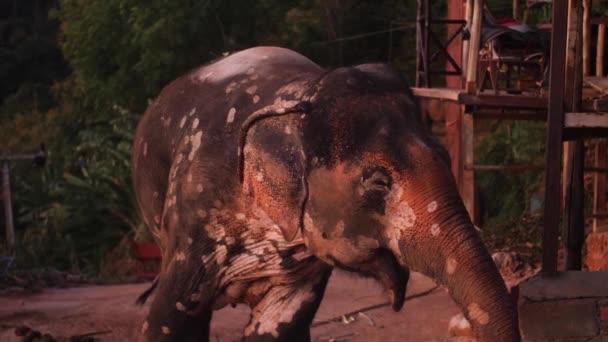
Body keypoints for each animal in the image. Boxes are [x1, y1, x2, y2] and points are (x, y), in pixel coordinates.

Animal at [131, 46, 520, 342]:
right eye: (378, 182)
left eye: (445, 156)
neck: (303, 90)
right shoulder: (194, 210)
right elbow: (169, 320)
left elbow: (277, 328)